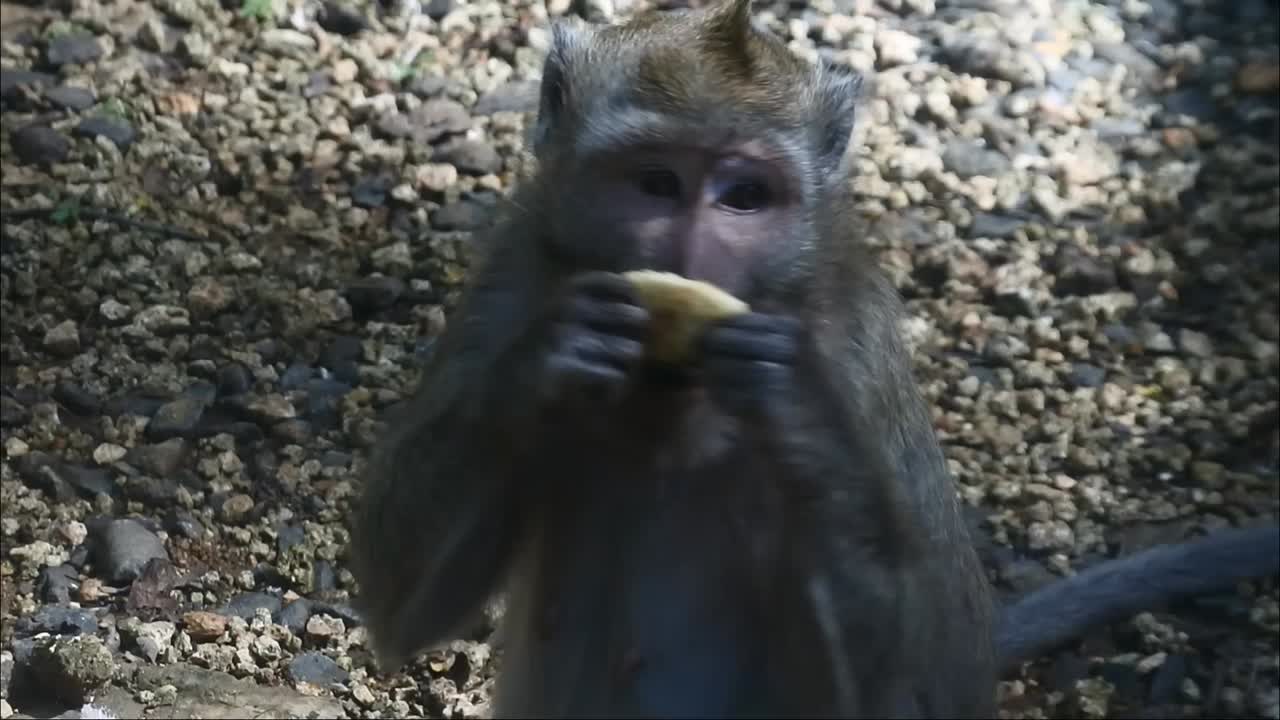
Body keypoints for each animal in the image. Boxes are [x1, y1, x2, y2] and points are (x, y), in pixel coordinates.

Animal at [347, 1, 1280, 717]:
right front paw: (553, 356)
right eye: (656, 184)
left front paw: (794, 408)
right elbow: (400, 607)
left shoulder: (858, 344)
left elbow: (937, 678)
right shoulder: (514, 273)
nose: (688, 257)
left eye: (744, 197)